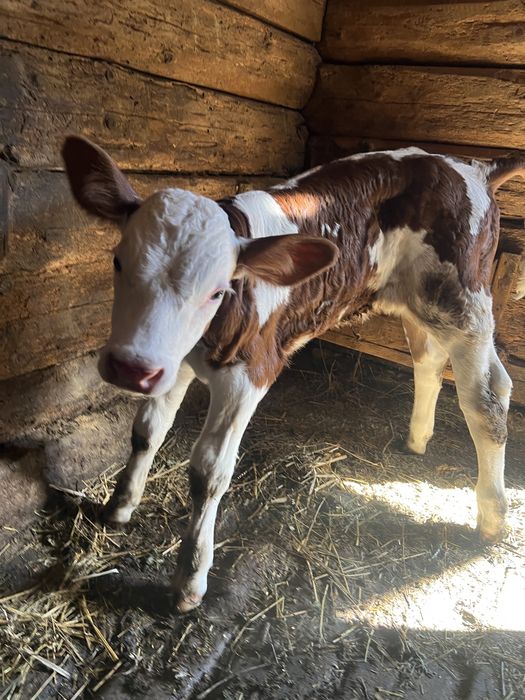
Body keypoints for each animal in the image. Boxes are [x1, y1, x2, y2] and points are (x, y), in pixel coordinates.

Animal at [62, 136, 525, 612]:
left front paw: (190, 580)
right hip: (421, 303)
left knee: (487, 397)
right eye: (118, 262)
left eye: (216, 291)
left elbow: (209, 472)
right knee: (435, 362)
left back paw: (492, 516)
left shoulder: (251, 375)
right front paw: (120, 506)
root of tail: (473, 165)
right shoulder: (171, 361)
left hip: (462, 300)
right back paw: (418, 440)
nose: (129, 368)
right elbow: (146, 431)